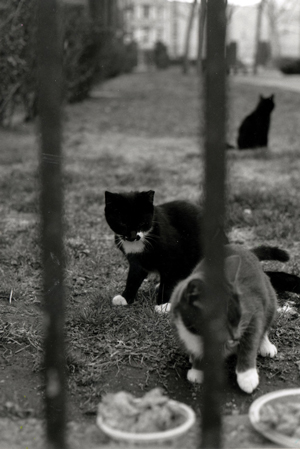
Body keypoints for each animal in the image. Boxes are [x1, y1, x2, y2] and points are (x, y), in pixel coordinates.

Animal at [170, 243, 278, 394]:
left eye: (240, 315)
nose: (236, 337)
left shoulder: (253, 310)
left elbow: (250, 340)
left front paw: (247, 377)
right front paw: (197, 369)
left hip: (269, 295)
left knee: (267, 319)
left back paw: (265, 345)